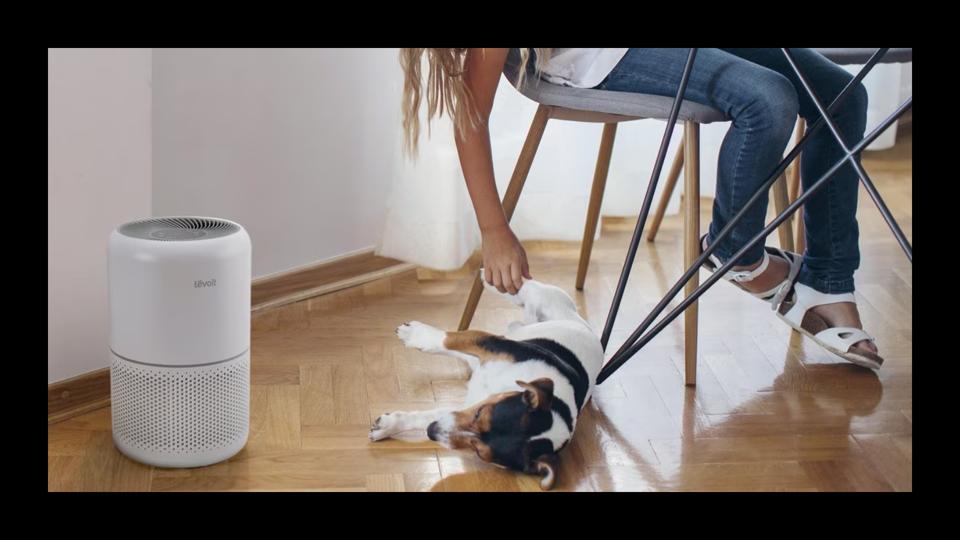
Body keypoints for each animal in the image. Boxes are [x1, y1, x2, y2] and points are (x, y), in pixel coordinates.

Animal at [368, 270, 600, 490]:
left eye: (479, 452)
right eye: (481, 413)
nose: (431, 432)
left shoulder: (463, 408)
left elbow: (428, 415)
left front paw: (388, 426)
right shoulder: (494, 344)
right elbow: (448, 339)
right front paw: (417, 334)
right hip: (543, 301)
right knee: (526, 289)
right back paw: (491, 277)